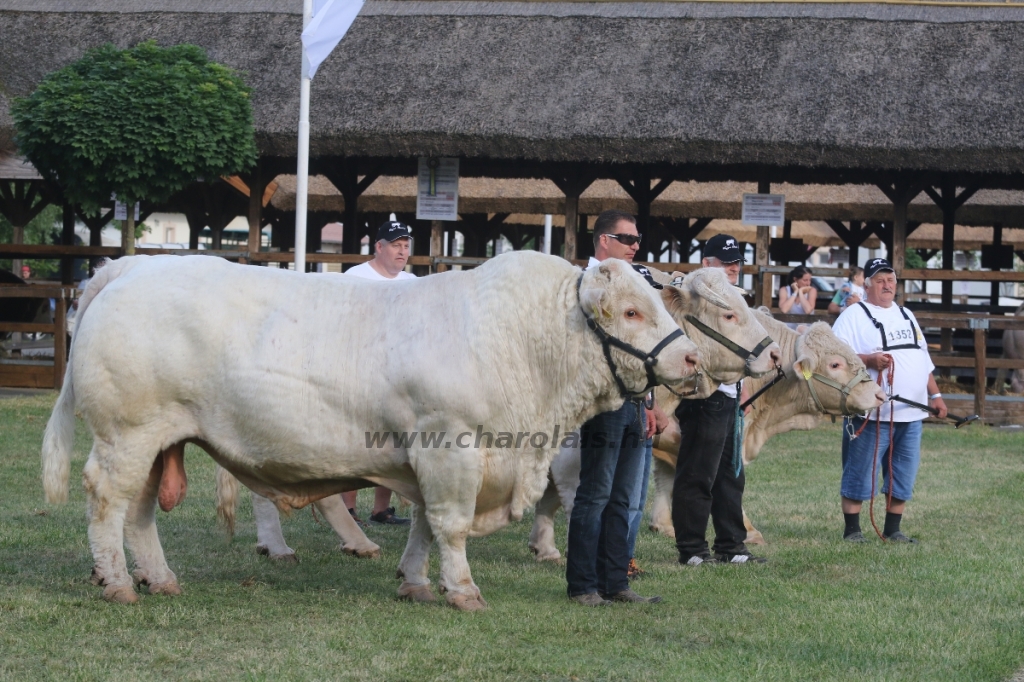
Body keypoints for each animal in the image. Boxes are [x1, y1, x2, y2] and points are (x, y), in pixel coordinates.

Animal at [39, 248, 696, 606]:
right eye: (632, 311)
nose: (691, 359)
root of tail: (131, 267)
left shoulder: (432, 459)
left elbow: (426, 526)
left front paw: (415, 581)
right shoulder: (451, 445)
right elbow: (451, 526)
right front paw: (462, 590)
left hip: (159, 441)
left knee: (140, 511)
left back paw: (159, 577)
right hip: (126, 434)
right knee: (108, 501)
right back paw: (117, 580)